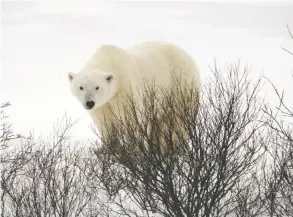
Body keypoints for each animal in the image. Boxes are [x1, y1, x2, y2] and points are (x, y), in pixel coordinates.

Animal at [68, 41, 201, 153]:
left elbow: (133, 118)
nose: (89, 103)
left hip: (180, 83)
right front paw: (105, 150)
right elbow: (105, 122)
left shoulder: (125, 86)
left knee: (178, 117)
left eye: (97, 87)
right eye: (81, 87)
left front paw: (137, 148)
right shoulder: (103, 104)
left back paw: (173, 146)